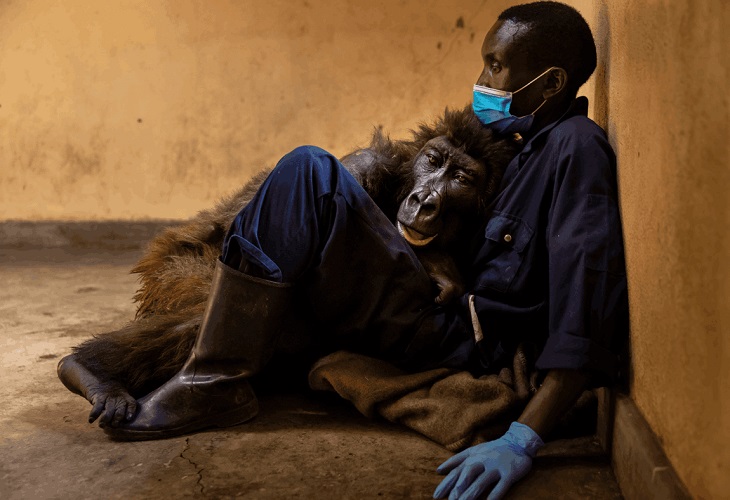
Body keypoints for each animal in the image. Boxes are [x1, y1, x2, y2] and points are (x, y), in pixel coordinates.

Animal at [59, 105, 520, 426]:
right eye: (434, 161)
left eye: (461, 178)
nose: (425, 199)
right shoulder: (365, 165)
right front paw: (437, 263)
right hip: (172, 274)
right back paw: (91, 370)